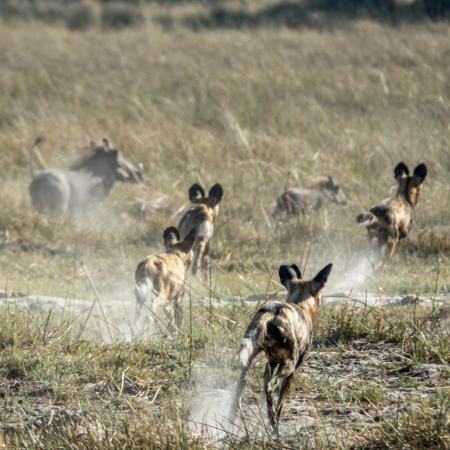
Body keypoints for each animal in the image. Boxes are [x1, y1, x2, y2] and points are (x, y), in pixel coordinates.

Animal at [230, 262, 332, 428]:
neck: (300, 305)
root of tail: (272, 312)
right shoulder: (293, 369)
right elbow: (280, 402)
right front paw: (274, 417)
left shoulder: (271, 363)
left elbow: (265, 398)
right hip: (289, 364)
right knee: (270, 387)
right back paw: (273, 424)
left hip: (248, 357)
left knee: (241, 383)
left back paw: (232, 416)